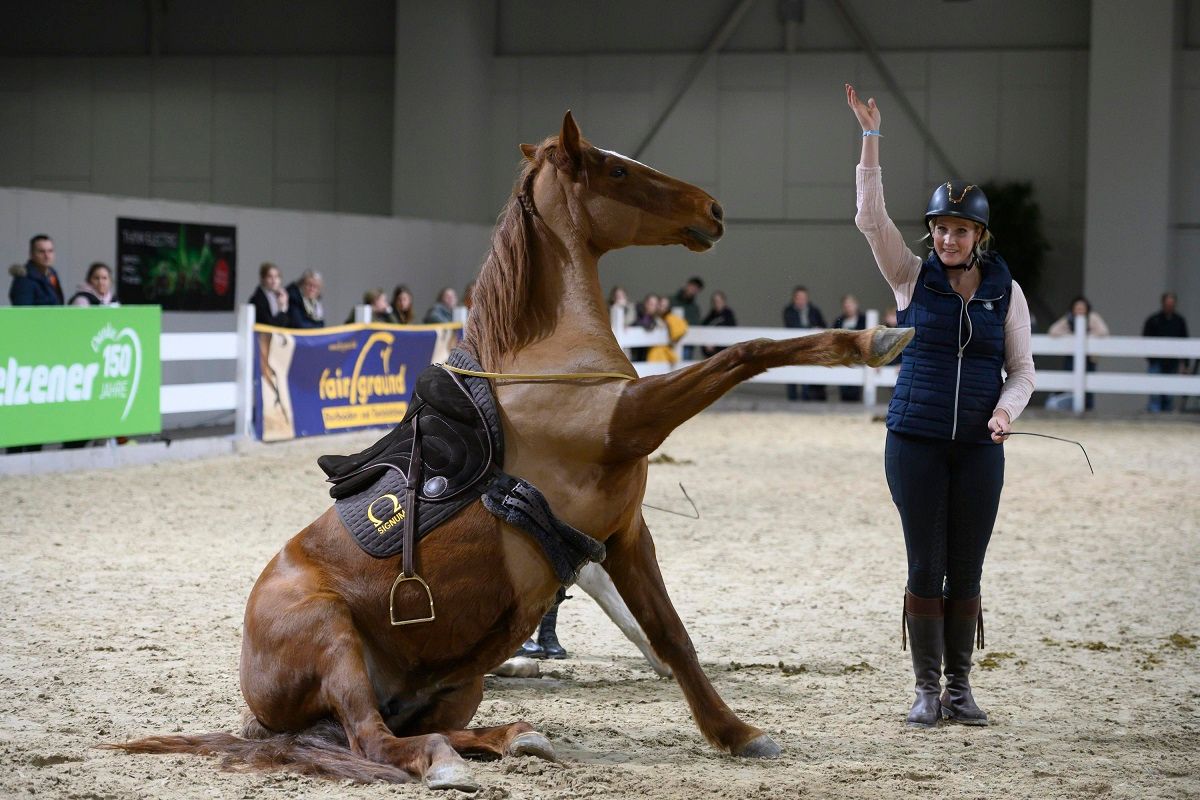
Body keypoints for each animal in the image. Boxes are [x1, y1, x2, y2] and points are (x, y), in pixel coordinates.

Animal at [110, 111, 913, 791]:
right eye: (614, 169)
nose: (712, 209)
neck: (548, 357)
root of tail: (257, 703)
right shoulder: (632, 421)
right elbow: (743, 352)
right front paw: (872, 340)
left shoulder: (625, 534)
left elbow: (671, 636)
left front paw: (736, 733)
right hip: (333, 637)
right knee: (372, 740)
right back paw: (443, 762)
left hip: (458, 683)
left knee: (396, 731)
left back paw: (512, 736)